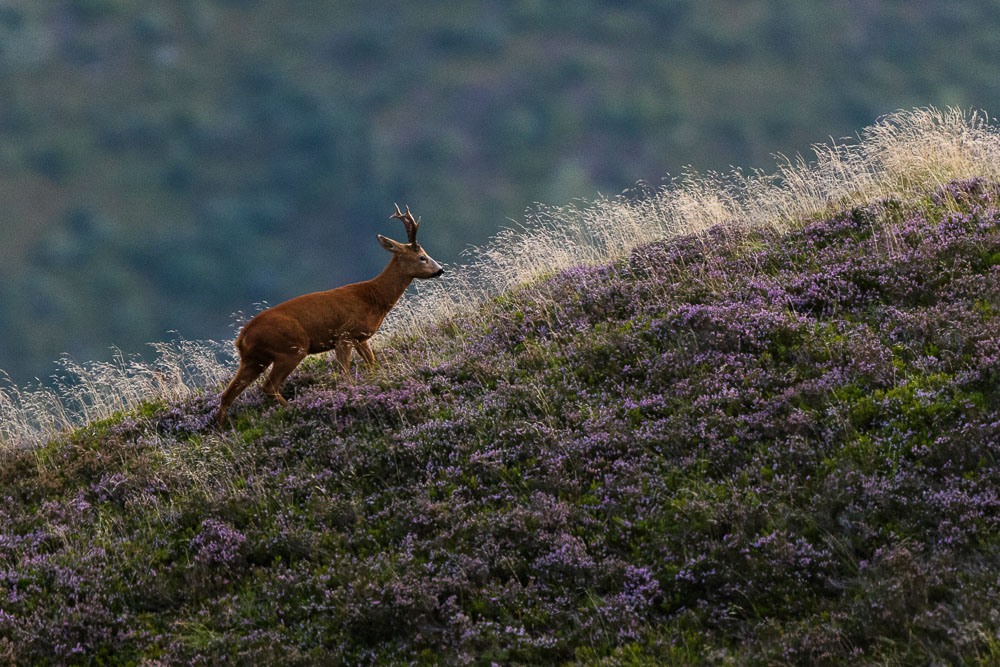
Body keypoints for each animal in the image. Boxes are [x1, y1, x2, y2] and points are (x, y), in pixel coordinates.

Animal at [217, 204, 444, 428]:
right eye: (422, 257)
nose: (440, 269)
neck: (374, 298)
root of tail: (242, 337)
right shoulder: (344, 335)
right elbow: (345, 373)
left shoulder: (361, 337)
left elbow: (372, 363)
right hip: (291, 348)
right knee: (268, 387)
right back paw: (294, 410)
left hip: (254, 360)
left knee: (227, 395)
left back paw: (222, 428)